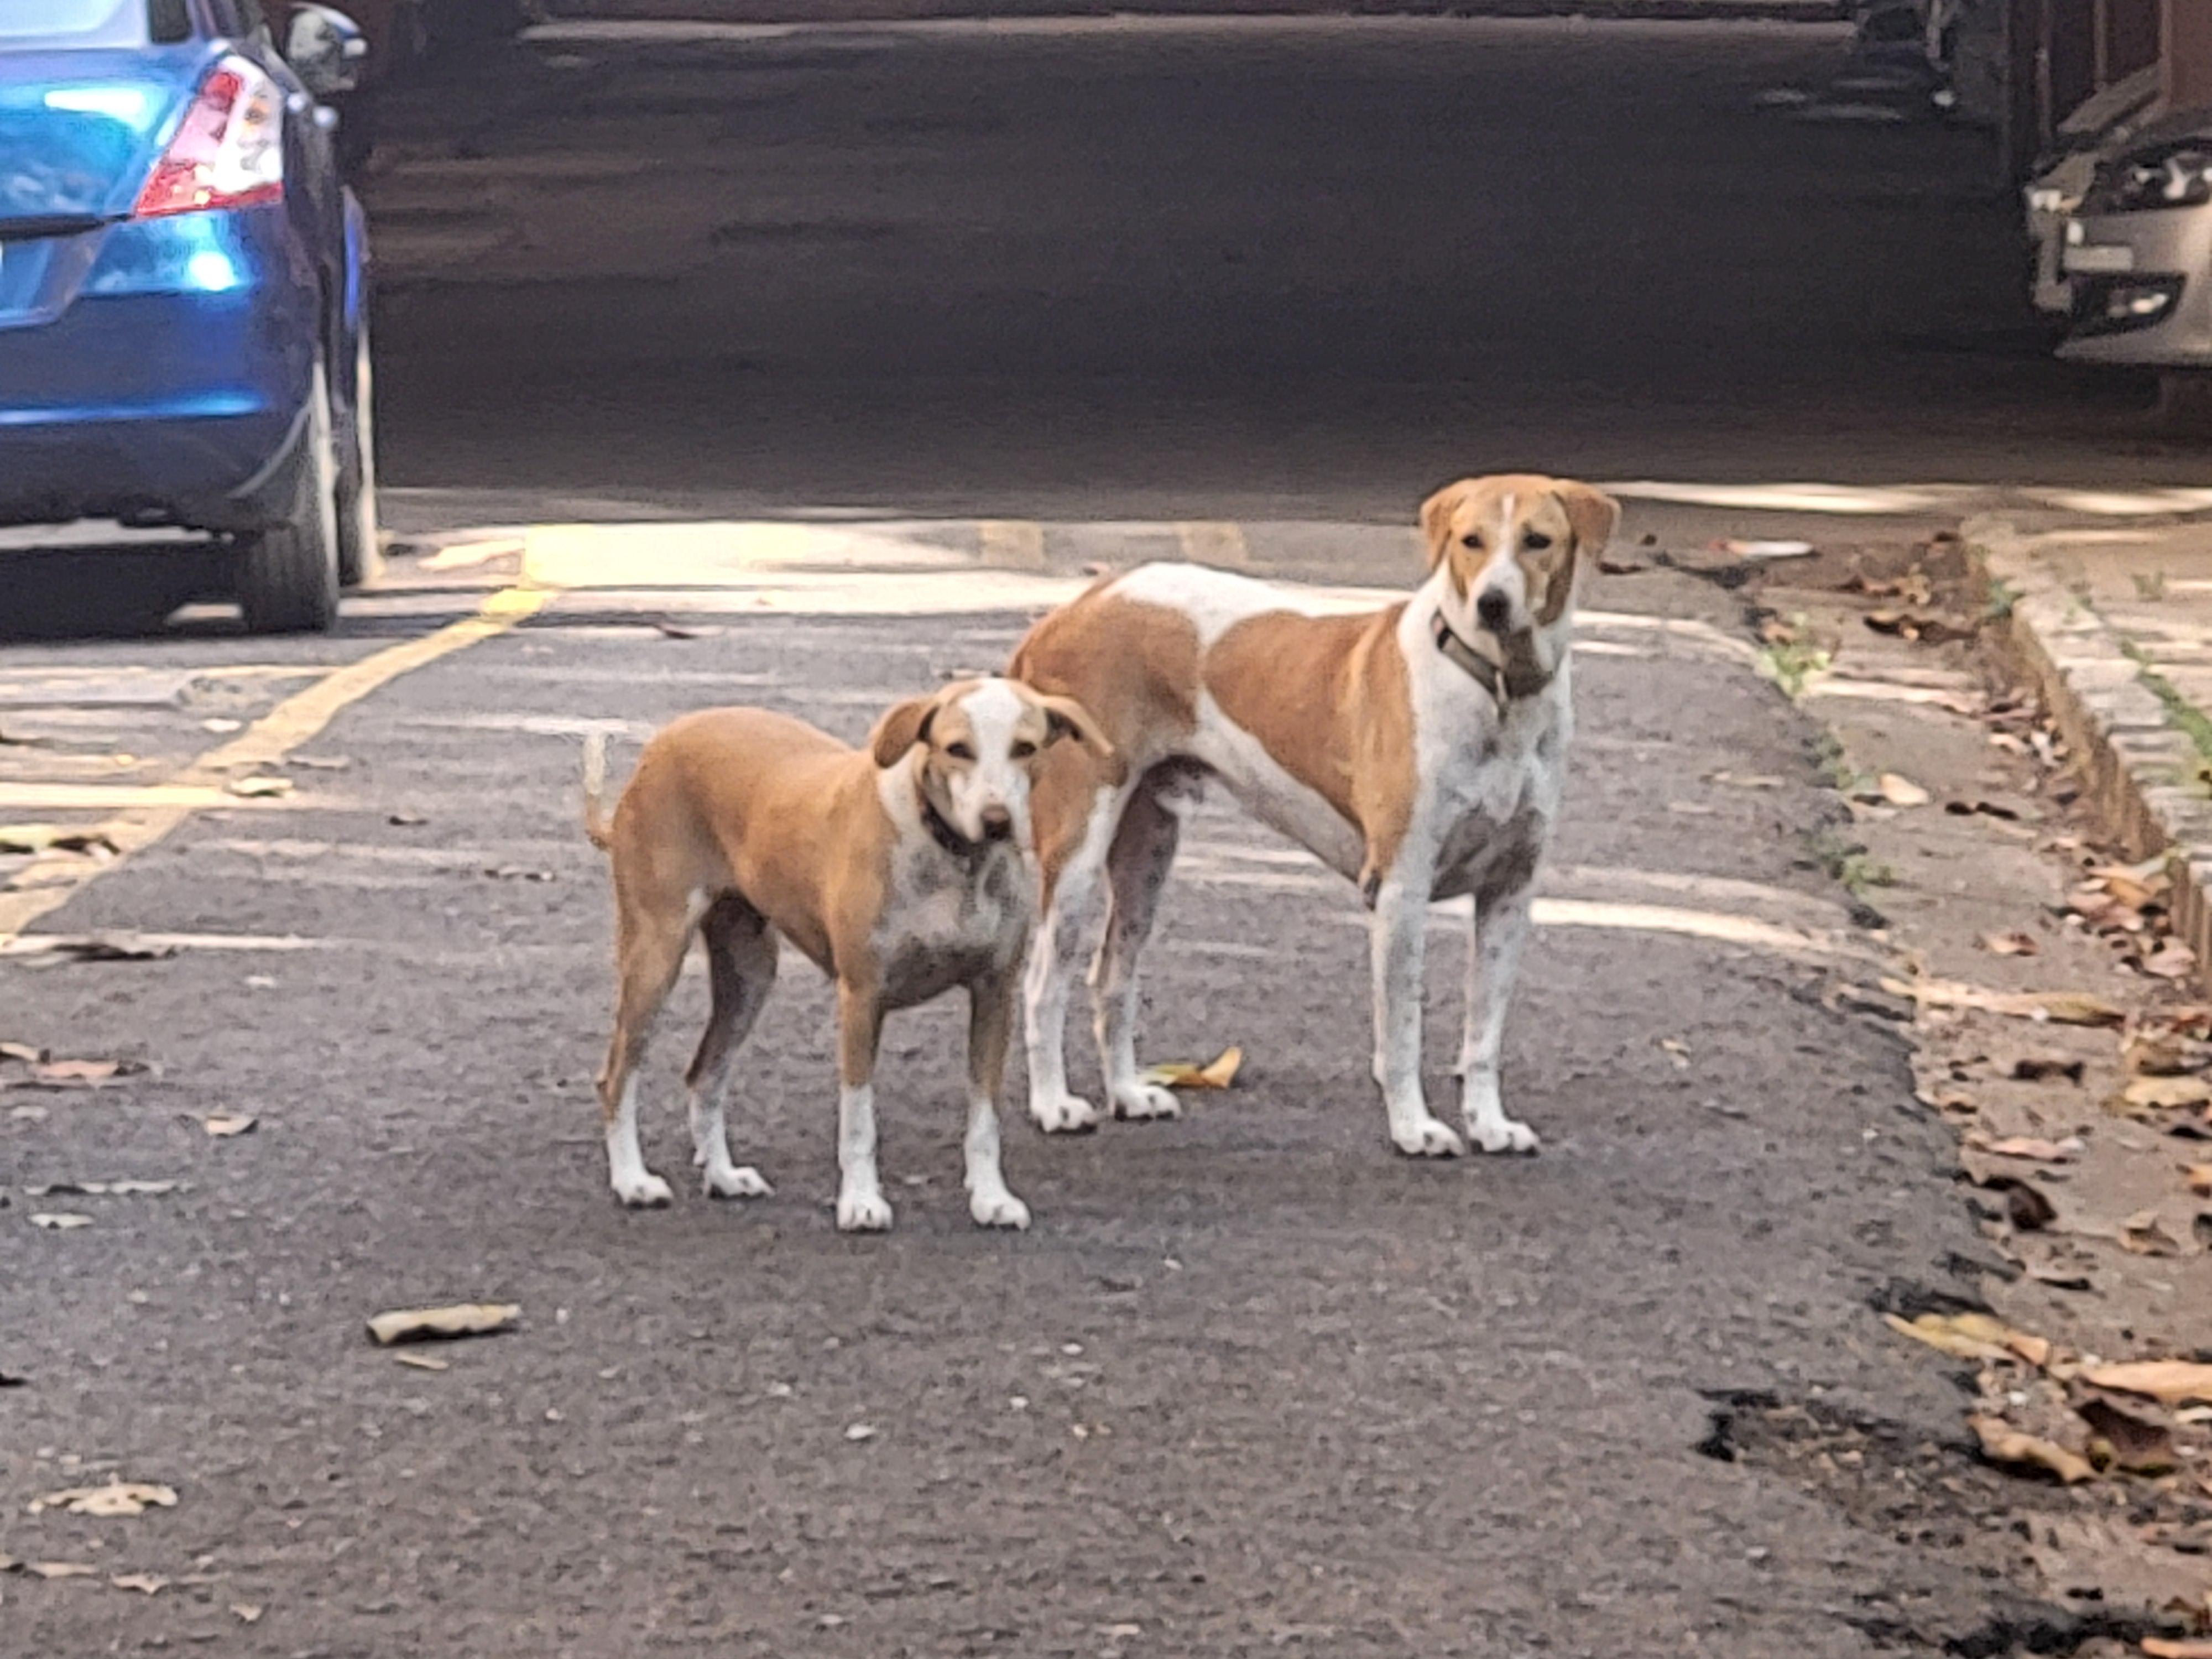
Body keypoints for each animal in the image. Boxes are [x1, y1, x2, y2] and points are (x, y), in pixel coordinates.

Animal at [582, 678, 1113, 1230]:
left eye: (1025, 748)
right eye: (958, 749)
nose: (996, 822)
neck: (949, 855)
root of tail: (663, 742)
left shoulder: (994, 996)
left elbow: (984, 1118)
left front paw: (990, 1198)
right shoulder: (862, 999)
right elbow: (859, 1121)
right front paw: (861, 1202)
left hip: (750, 975)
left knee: (704, 1075)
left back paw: (724, 1176)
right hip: (655, 956)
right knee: (616, 1077)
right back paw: (632, 1181)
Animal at [1008, 474, 1619, 1158]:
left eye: (1537, 541)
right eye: (1471, 541)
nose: (1491, 603)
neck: (1493, 689)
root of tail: (1072, 609)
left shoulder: (1509, 895)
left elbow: (1483, 1035)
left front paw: (1488, 1123)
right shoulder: (1400, 891)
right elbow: (1402, 1033)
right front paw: (1413, 1129)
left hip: (1147, 851)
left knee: (1111, 976)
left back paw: (1127, 1094)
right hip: (1077, 851)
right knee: (1043, 985)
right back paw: (1052, 1104)